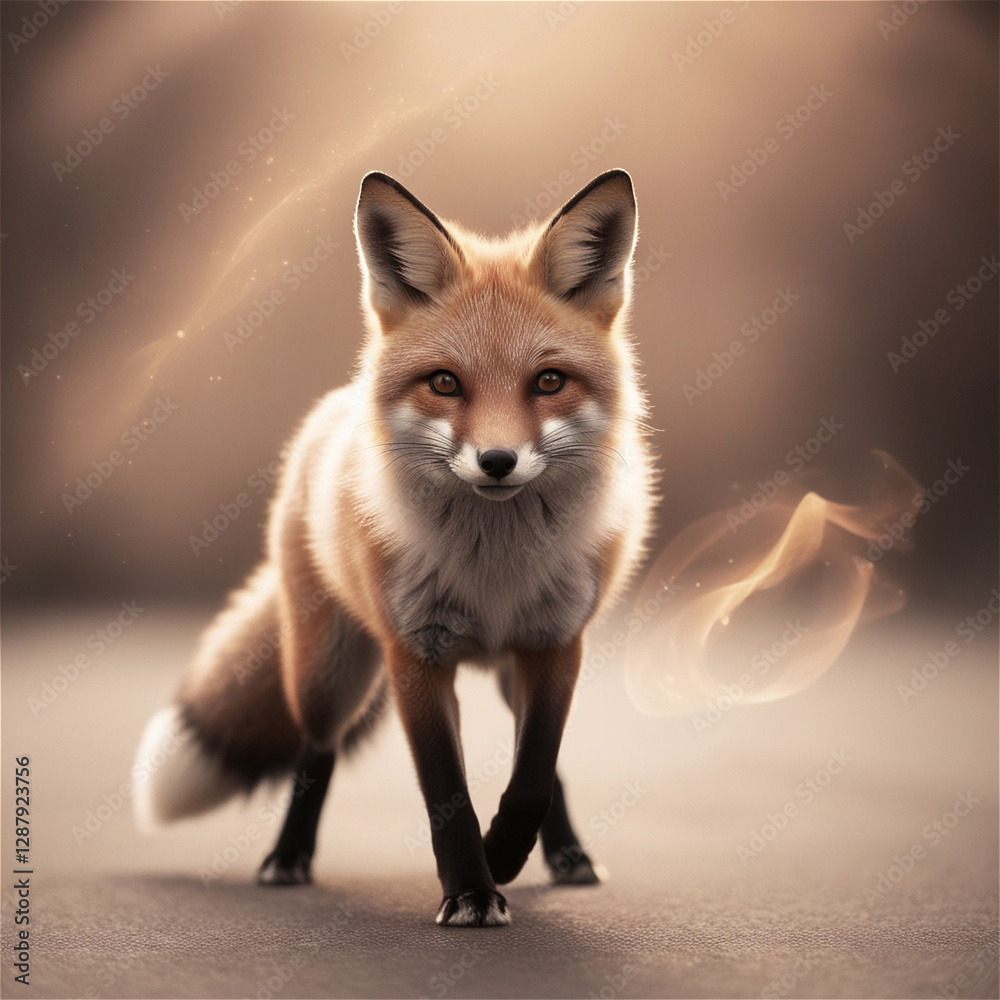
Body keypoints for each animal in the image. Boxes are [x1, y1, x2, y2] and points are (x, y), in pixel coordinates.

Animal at [134, 168, 657, 927]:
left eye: (549, 382)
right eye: (445, 383)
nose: (497, 461)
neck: (494, 571)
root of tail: (335, 405)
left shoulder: (557, 644)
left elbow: (533, 772)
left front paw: (505, 854)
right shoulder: (415, 653)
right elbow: (446, 793)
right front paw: (472, 889)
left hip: (506, 671)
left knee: (543, 765)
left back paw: (563, 855)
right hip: (327, 671)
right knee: (316, 752)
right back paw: (288, 858)